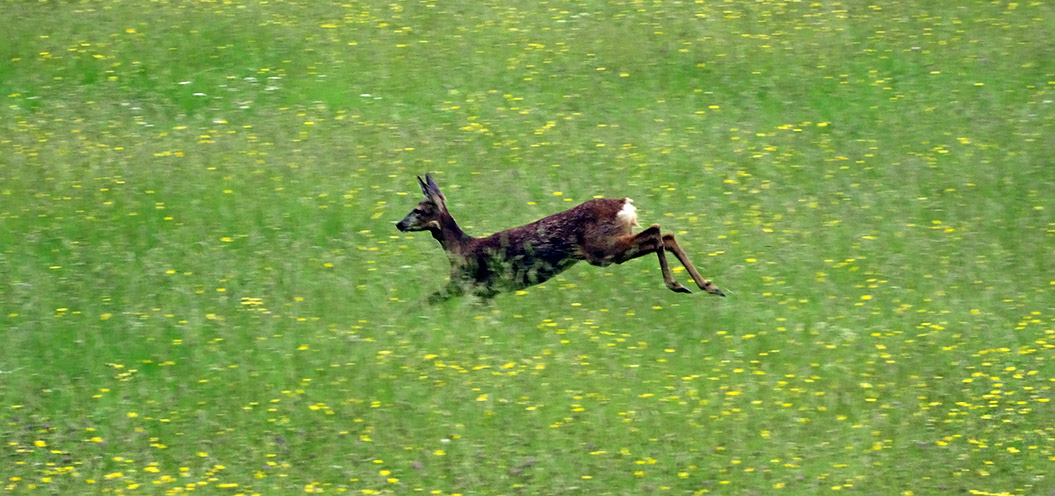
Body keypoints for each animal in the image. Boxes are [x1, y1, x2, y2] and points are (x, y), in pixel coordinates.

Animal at [396, 174, 725, 303]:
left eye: (418, 209)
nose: (398, 223)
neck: (460, 249)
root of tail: (625, 205)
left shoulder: (466, 282)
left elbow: (426, 301)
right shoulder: (484, 292)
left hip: (602, 250)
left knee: (658, 232)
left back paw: (680, 284)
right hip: (608, 248)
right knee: (664, 233)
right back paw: (708, 286)